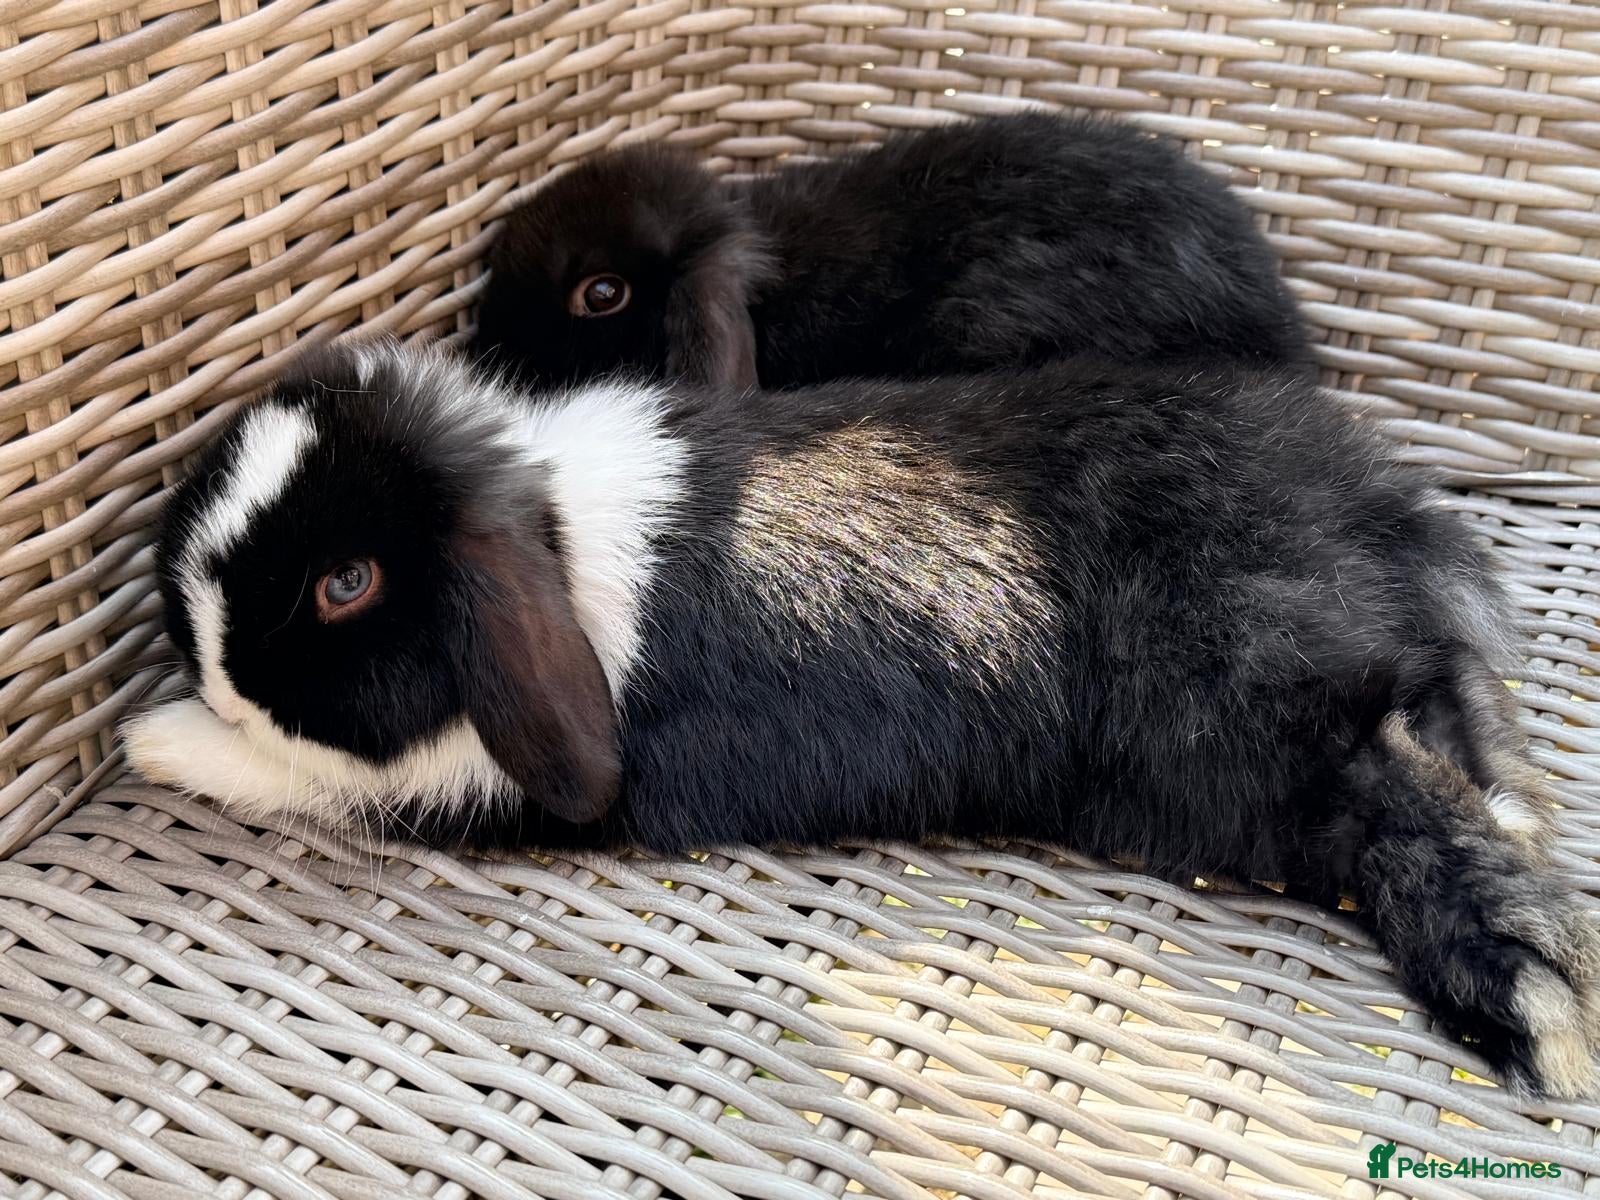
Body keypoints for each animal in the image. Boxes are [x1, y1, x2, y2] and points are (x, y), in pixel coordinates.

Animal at [124, 339, 1600, 1098]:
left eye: (346, 583)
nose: (199, 647)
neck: (544, 526)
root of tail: (1373, 507)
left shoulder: (456, 785)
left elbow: (296, 770)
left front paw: (155, 737)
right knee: (1471, 740)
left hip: (1255, 720)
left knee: (1413, 800)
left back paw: (1535, 1010)